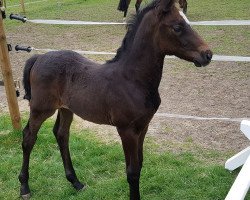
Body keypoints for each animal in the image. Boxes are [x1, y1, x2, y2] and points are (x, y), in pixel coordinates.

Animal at [18, 0, 212, 199]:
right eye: (177, 27)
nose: (207, 54)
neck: (132, 80)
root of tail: (38, 57)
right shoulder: (126, 130)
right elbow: (132, 172)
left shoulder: (143, 127)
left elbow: (139, 165)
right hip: (40, 109)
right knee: (29, 137)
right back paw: (24, 187)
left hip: (66, 109)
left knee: (61, 134)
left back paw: (76, 182)